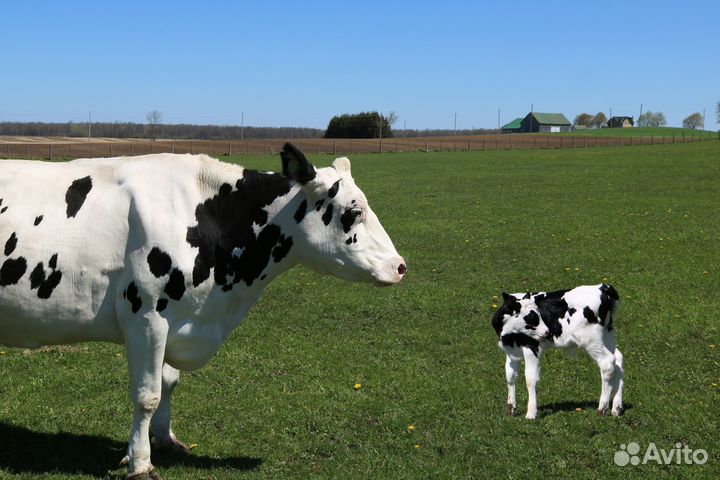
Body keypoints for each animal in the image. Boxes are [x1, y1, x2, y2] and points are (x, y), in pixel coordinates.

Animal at [0, 143, 404, 480]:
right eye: (354, 211)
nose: (400, 266)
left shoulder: (175, 321)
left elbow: (169, 383)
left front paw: (164, 439)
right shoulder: (146, 317)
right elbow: (147, 395)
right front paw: (140, 463)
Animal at [492, 284, 620, 420]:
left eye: (539, 314)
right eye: (531, 317)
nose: (547, 332)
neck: (508, 334)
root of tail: (603, 287)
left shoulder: (532, 348)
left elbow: (531, 380)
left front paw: (531, 413)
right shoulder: (511, 351)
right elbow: (510, 376)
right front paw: (510, 409)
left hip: (591, 340)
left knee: (607, 363)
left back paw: (602, 409)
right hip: (607, 334)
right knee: (618, 360)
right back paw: (617, 409)